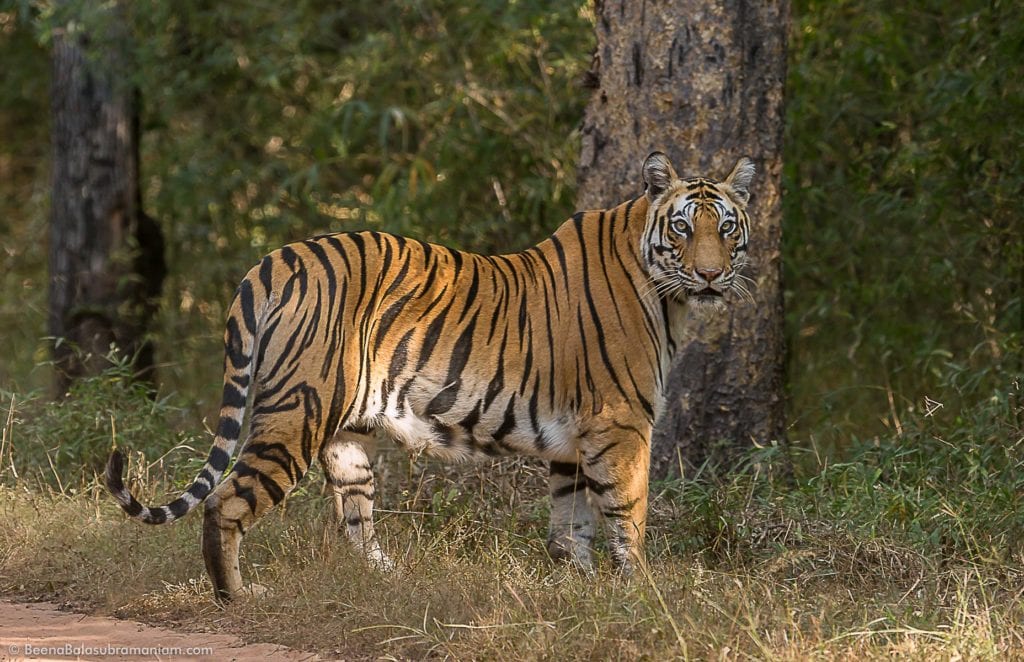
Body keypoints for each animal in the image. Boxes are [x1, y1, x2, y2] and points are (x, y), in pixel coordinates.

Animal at [105, 154, 753, 602]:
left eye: (725, 228)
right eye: (682, 229)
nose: (709, 275)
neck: (667, 296)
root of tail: (275, 260)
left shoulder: (572, 443)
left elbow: (571, 525)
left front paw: (578, 588)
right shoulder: (621, 426)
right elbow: (627, 514)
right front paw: (638, 592)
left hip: (347, 441)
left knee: (354, 520)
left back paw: (386, 581)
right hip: (297, 414)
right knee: (226, 501)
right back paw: (237, 596)